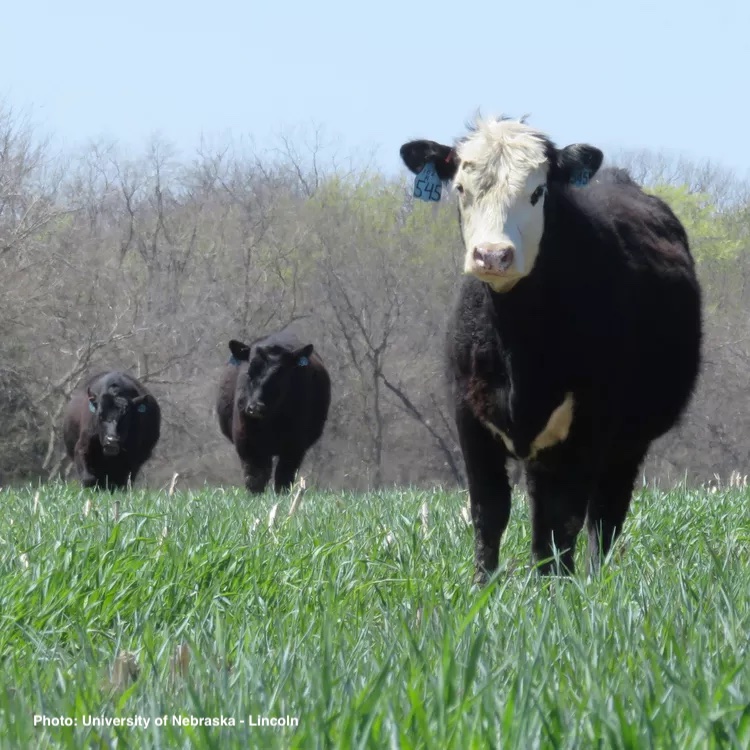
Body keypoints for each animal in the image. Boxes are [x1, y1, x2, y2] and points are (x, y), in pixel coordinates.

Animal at [219, 328, 334, 494]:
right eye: (249, 371)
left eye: (281, 374)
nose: (255, 407)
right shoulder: (247, 442)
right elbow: (255, 477)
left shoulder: (295, 445)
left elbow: (283, 477)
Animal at [402, 116, 704, 580]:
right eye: (461, 188)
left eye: (537, 192)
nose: (492, 255)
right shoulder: (468, 415)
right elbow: (489, 511)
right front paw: (482, 586)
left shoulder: (589, 422)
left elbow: (565, 518)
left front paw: (556, 590)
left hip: (628, 442)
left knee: (604, 514)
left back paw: (595, 578)